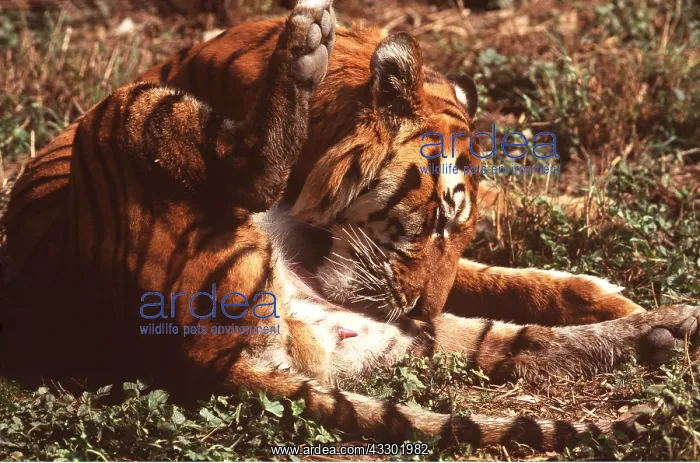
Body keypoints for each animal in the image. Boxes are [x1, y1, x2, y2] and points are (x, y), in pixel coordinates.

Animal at [1, 0, 699, 451]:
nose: (422, 309)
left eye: (463, 231)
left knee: (517, 343)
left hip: (380, 334)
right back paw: (304, 44)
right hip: (128, 108)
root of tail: (205, 356)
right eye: (437, 218)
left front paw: (606, 295)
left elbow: (500, 276)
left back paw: (664, 327)